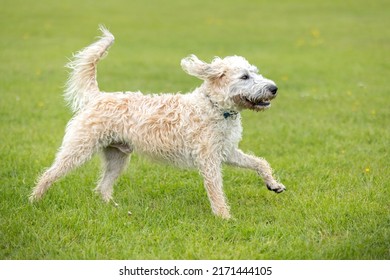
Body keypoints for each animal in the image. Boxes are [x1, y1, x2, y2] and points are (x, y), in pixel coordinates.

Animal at [29, 26, 286, 219]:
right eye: (245, 76)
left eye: (255, 72)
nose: (274, 88)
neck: (216, 107)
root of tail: (98, 96)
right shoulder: (209, 160)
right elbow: (216, 191)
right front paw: (225, 218)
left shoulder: (228, 151)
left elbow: (259, 163)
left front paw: (274, 185)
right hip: (78, 149)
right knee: (49, 174)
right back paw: (34, 200)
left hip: (118, 157)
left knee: (102, 186)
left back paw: (113, 208)